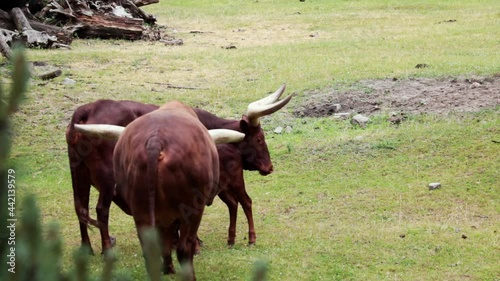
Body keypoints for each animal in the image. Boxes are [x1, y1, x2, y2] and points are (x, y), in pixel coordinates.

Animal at [66, 84, 292, 253]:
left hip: (78, 173)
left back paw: (87, 249)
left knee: (80, 207)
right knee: (101, 210)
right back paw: (106, 248)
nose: (269, 167)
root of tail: (86, 110)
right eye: (260, 138)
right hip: (107, 179)